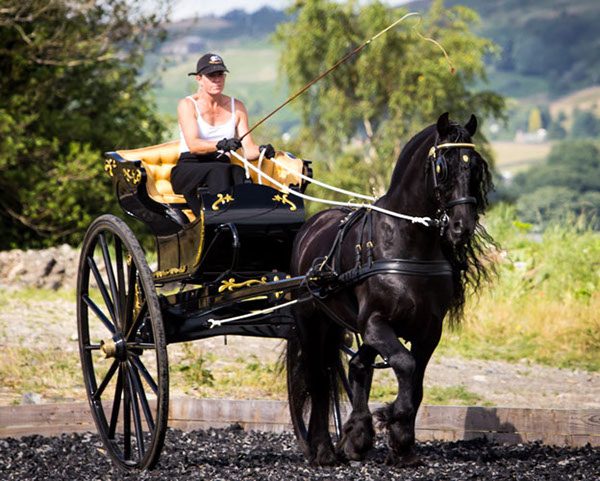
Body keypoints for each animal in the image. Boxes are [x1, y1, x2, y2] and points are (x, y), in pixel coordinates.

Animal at [288, 112, 494, 464]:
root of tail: (310, 227)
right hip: (311, 320)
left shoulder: (429, 331)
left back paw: (355, 437)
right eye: (443, 166)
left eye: (476, 165)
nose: (462, 226)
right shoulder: (375, 323)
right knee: (318, 378)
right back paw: (323, 449)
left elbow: (416, 381)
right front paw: (392, 418)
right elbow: (405, 365)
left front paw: (403, 444)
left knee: (355, 366)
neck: (407, 243)